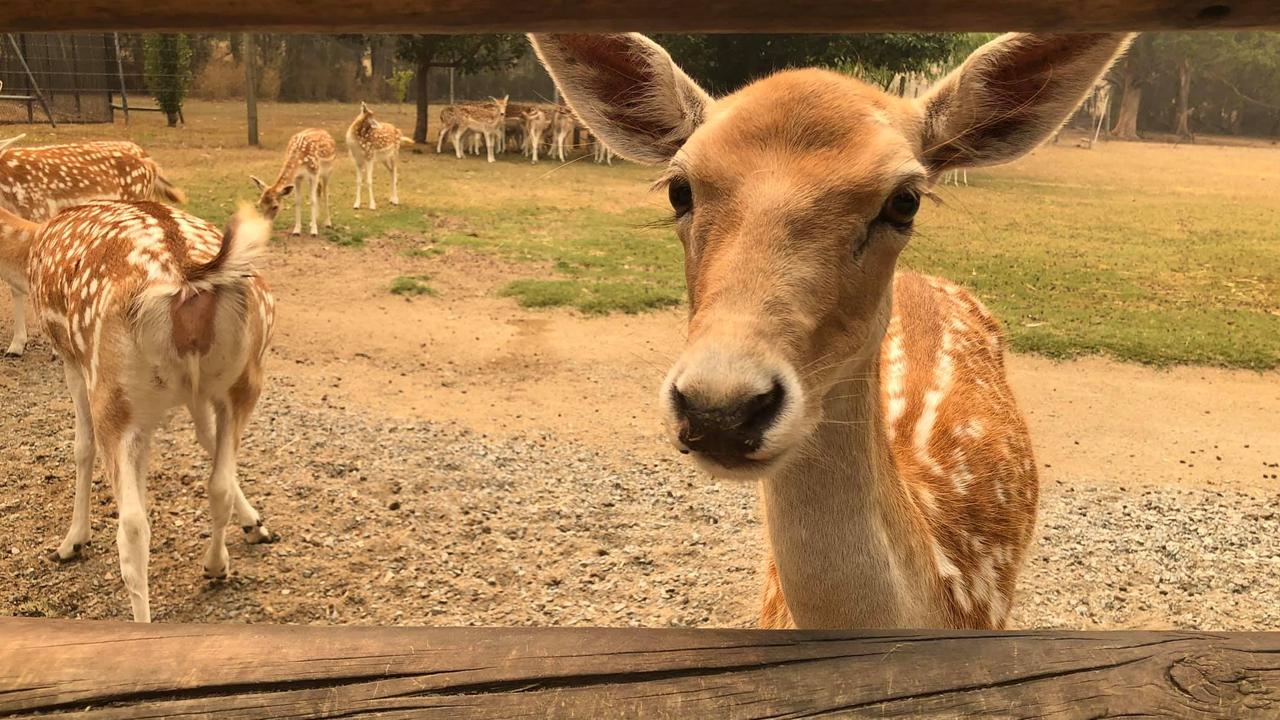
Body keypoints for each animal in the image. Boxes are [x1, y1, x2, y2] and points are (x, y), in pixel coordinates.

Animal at [0, 198, 280, 620]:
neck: (30, 247)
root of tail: (187, 279)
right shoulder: (197, 395)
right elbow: (208, 444)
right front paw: (256, 525)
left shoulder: (72, 361)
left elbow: (82, 448)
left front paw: (71, 542)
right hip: (245, 378)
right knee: (216, 485)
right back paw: (216, 566)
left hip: (114, 391)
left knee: (132, 528)